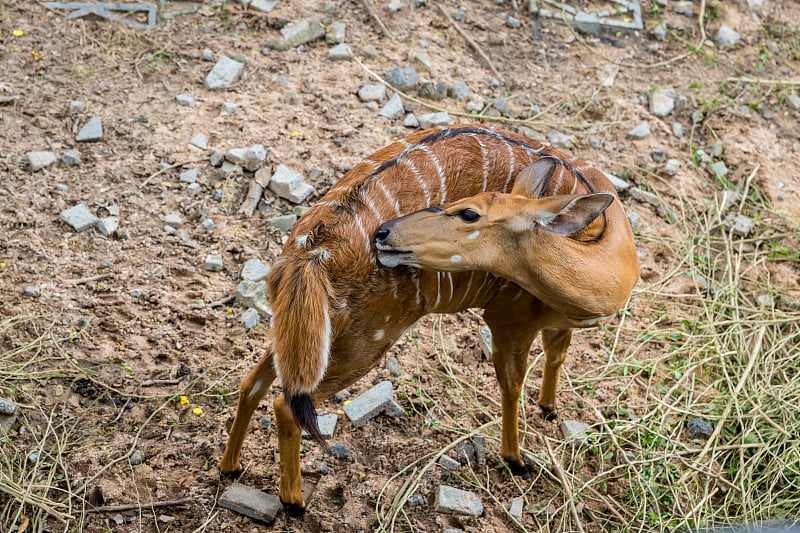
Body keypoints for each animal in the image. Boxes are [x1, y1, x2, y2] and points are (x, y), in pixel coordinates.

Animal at [217, 124, 636, 512]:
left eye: (468, 212)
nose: (384, 233)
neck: (607, 255)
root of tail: (315, 248)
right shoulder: (509, 319)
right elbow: (512, 385)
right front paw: (516, 461)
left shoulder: (555, 324)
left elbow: (557, 354)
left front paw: (549, 409)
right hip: (366, 339)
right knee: (287, 403)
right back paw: (294, 504)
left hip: (306, 331)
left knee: (252, 382)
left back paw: (230, 467)